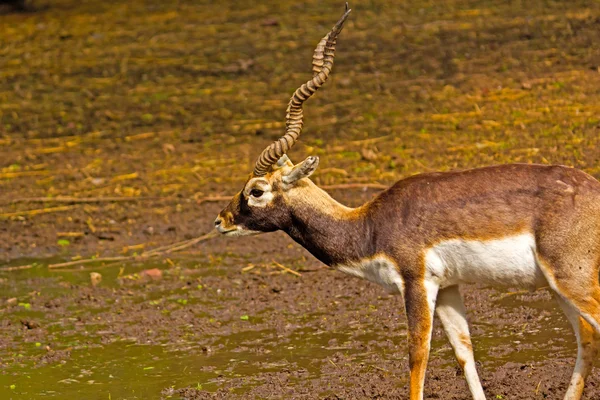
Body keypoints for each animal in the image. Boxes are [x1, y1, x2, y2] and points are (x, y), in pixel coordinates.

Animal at [216, 3, 600, 400]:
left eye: (256, 190)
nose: (221, 220)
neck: (368, 226)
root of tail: (593, 189)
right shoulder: (447, 288)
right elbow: (464, 351)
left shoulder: (416, 282)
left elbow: (418, 355)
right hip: (556, 286)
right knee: (587, 336)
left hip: (571, 278)